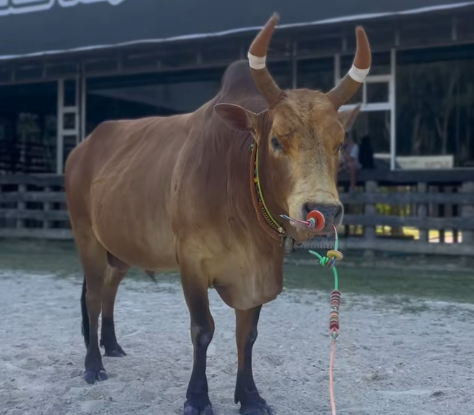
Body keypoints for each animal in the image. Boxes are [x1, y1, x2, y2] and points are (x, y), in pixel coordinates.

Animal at [64, 12, 371, 415]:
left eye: (338, 144)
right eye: (276, 140)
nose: (322, 210)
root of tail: (82, 148)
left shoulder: (258, 274)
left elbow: (248, 334)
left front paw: (250, 396)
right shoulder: (192, 262)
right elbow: (203, 329)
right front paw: (197, 397)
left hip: (119, 247)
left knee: (110, 289)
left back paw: (112, 346)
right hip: (86, 237)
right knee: (94, 297)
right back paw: (93, 365)